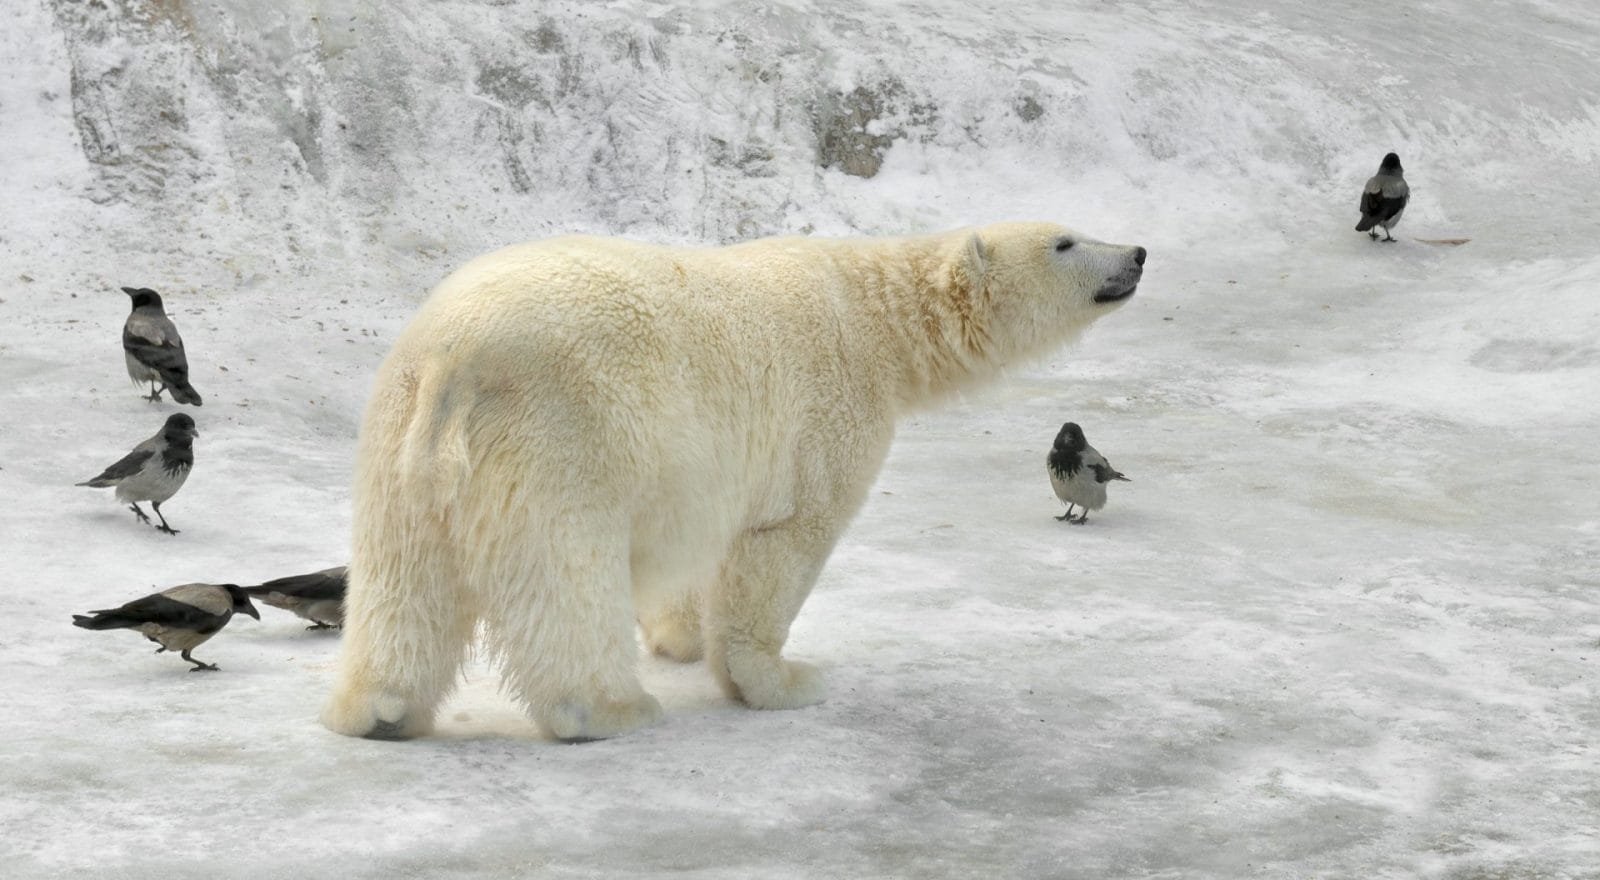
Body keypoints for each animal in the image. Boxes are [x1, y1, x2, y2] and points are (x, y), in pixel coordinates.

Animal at [322, 222, 1145, 741]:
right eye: (1064, 241)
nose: (1137, 254)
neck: (873, 316)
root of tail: (454, 359)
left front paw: (681, 637)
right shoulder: (822, 416)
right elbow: (784, 543)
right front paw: (782, 680)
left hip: (398, 441)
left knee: (404, 578)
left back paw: (381, 710)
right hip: (557, 438)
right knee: (565, 576)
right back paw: (609, 709)